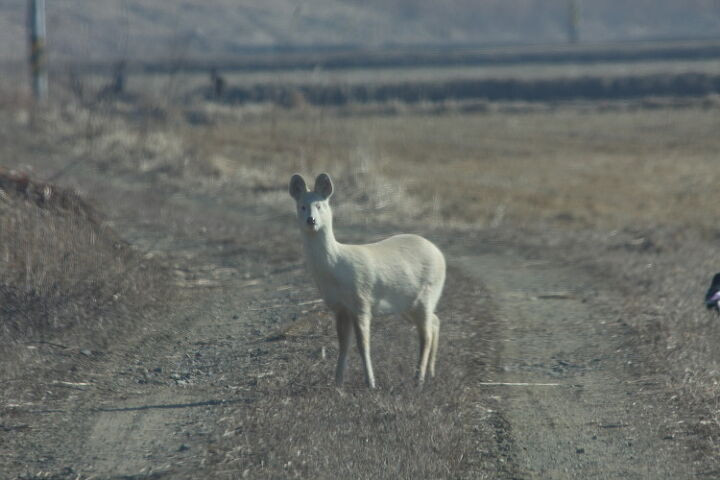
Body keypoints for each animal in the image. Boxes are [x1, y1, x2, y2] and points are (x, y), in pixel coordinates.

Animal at [288, 172, 444, 386]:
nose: (311, 220)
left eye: (320, 205)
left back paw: (418, 379)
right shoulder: (339, 308)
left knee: (426, 334)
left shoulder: (361, 302)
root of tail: (440, 255)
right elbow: (343, 344)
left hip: (426, 294)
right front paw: (337, 383)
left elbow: (363, 345)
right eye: (302, 206)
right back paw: (430, 373)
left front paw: (371, 383)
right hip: (407, 304)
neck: (335, 268)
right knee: (435, 322)